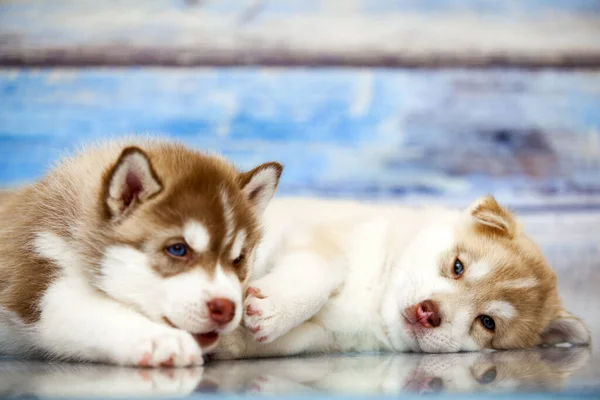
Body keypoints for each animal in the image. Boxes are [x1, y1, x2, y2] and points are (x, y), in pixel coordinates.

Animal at [0, 139, 282, 368]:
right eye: (178, 249)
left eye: (238, 259)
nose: (226, 309)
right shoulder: (37, 276)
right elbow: (94, 309)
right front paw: (160, 339)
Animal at [212, 198, 592, 358]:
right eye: (458, 267)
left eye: (487, 322)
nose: (429, 312)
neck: (374, 300)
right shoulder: (320, 234)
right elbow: (323, 269)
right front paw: (277, 307)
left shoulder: (326, 336)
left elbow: (284, 340)